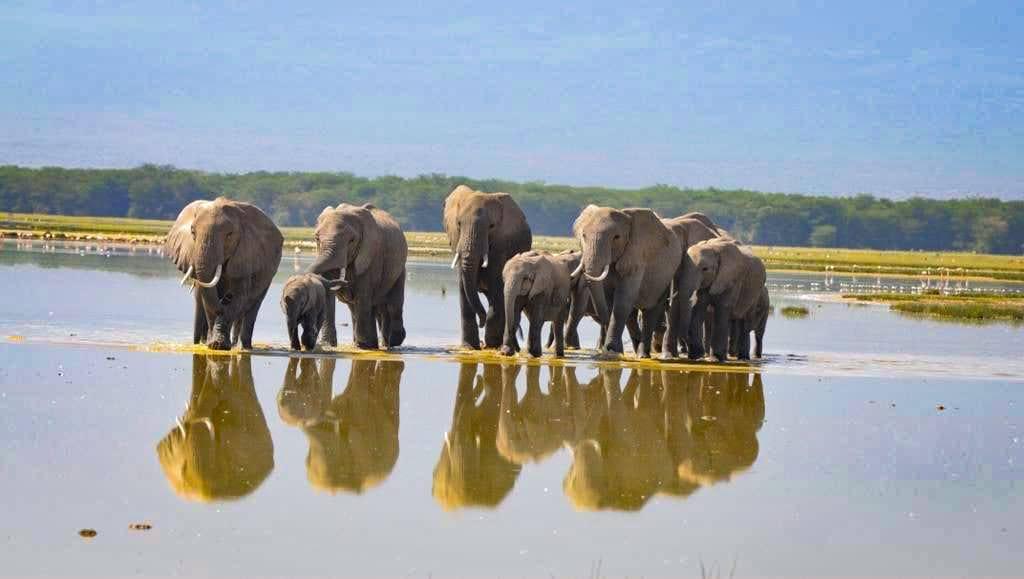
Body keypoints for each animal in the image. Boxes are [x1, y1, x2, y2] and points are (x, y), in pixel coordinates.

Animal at [165, 198, 283, 350]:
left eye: (229, 235)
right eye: (192, 232)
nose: (226, 298)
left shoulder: (245, 255)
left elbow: (240, 297)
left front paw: (219, 345)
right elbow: (208, 299)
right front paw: (212, 345)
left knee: (253, 306)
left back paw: (244, 347)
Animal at [308, 203, 407, 350]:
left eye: (351, 240)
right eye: (316, 238)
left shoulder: (371, 256)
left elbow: (363, 295)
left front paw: (365, 346)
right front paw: (328, 345)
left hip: (400, 269)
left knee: (393, 304)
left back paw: (391, 342)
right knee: (362, 308)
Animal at [443, 185, 532, 350]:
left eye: (491, 226)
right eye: (458, 224)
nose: (481, 322)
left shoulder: (501, 245)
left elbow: (497, 285)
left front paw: (491, 345)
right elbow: (464, 288)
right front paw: (469, 347)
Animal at [572, 205, 682, 358]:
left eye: (616, 237)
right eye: (583, 236)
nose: (605, 348)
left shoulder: (636, 255)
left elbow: (622, 302)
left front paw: (612, 351)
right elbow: (610, 300)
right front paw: (613, 352)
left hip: (666, 275)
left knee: (650, 312)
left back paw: (642, 355)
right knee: (632, 315)